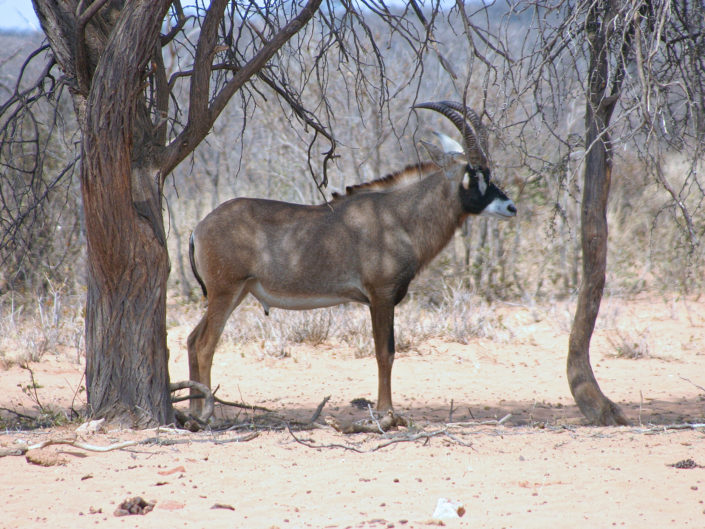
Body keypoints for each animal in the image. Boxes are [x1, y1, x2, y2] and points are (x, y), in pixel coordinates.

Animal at [187, 102, 516, 416]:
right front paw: (386, 413)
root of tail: (199, 227)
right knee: (205, 345)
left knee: (192, 339)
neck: (399, 215)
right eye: (473, 175)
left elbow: (387, 353)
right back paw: (207, 415)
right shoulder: (381, 296)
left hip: (236, 293)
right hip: (225, 292)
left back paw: (192, 411)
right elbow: (385, 353)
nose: (511, 207)